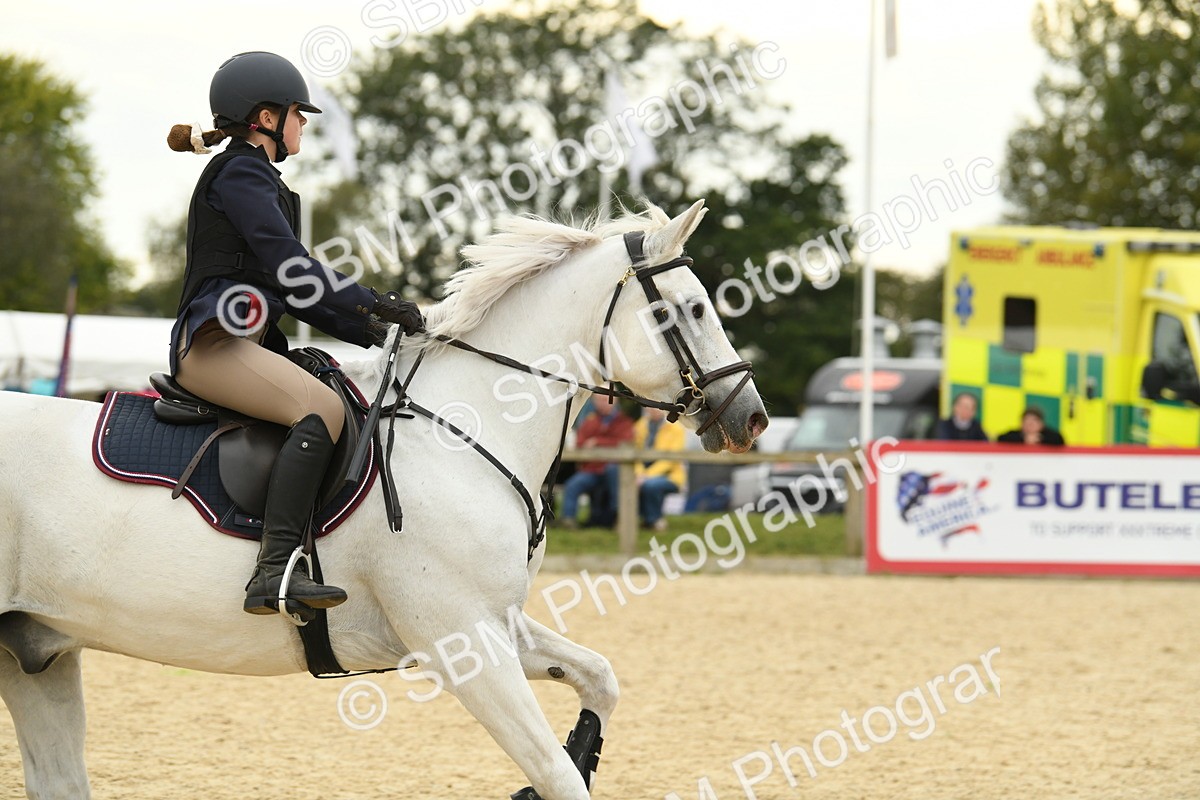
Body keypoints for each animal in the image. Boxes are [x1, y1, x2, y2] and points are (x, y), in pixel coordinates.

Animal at [0, 199, 768, 800]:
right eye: (692, 309)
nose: (751, 417)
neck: (465, 427)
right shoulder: (460, 637)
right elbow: (554, 774)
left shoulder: (491, 623)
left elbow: (598, 681)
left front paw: (583, 746)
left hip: (36, 651)